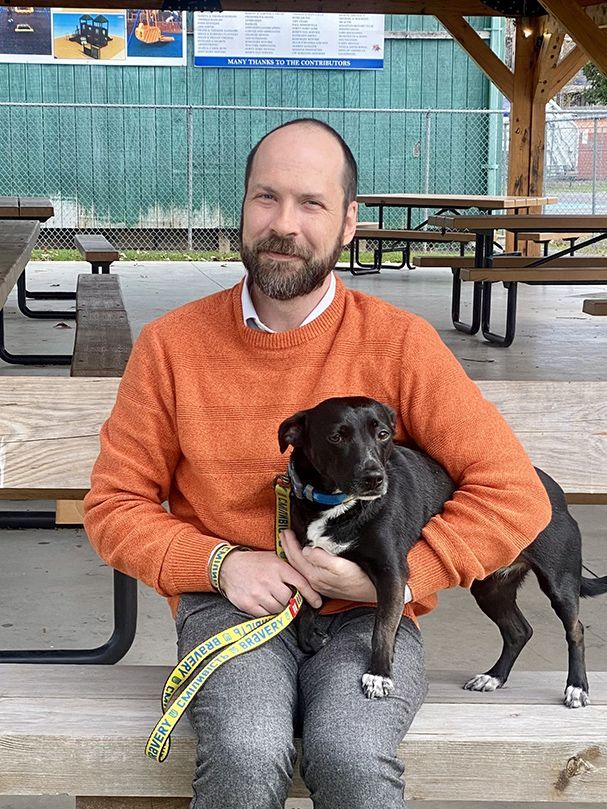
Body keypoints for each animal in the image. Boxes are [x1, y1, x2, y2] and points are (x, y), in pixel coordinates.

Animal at [280, 394, 607, 704]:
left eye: (383, 434)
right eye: (336, 437)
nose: (374, 478)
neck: (335, 504)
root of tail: (556, 492)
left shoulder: (392, 574)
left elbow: (382, 629)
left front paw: (379, 675)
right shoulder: (309, 562)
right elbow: (306, 606)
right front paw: (310, 639)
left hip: (559, 581)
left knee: (575, 630)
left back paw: (577, 687)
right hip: (491, 589)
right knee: (519, 631)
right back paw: (493, 677)